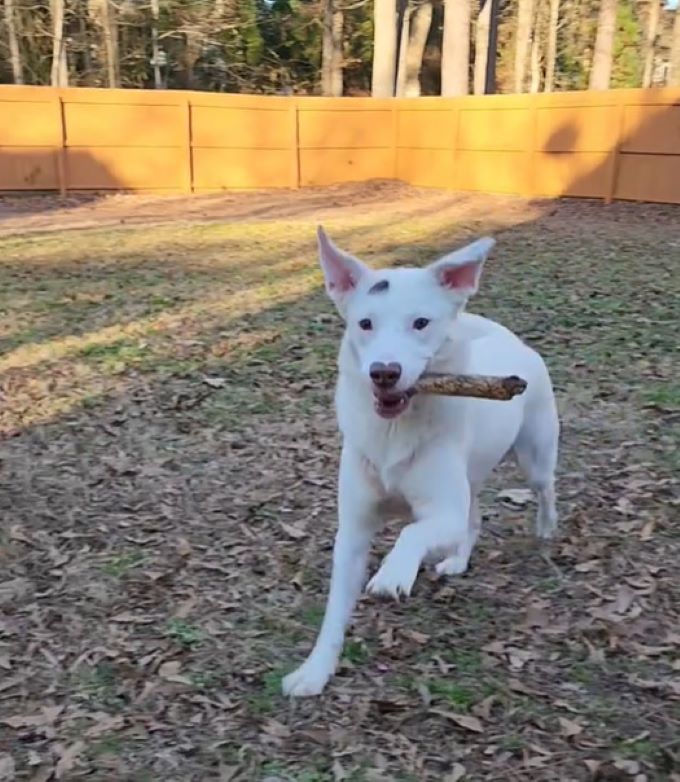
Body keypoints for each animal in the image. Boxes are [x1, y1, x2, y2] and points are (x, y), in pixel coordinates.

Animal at [282, 227, 556, 700]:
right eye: (365, 324)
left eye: (421, 324)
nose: (383, 372)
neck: (395, 430)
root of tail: (511, 340)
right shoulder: (353, 531)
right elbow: (334, 612)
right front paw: (315, 671)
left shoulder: (440, 511)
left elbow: (412, 532)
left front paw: (393, 573)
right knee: (473, 518)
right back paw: (457, 560)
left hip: (535, 455)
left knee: (545, 487)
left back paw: (546, 527)